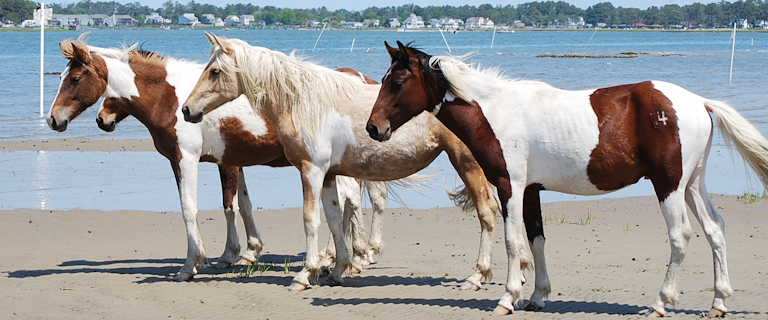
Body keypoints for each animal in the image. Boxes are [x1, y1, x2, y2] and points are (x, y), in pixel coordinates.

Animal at [47, 34, 390, 280]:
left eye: (75, 79)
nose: (53, 119)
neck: (172, 98)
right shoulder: (229, 161)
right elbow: (238, 204)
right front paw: (241, 253)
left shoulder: (185, 160)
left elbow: (192, 209)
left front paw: (192, 264)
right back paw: (344, 257)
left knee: (351, 202)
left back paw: (349, 257)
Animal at [181, 33, 504, 292]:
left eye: (214, 71)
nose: (186, 110)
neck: (305, 104)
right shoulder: (327, 175)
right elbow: (335, 219)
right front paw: (337, 269)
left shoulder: (311, 171)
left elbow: (310, 220)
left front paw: (305, 274)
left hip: (467, 165)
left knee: (487, 212)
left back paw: (478, 276)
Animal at [368, 40, 768, 318]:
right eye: (385, 80)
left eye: (398, 82)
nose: (374, 128)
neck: (497, 111)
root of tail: (699, 102)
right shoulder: (531, 190)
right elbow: (536, 240)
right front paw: (537, 296)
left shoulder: (510, 187)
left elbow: (513, 242)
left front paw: (508, 298)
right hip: (692, 185)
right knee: (715, 229)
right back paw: (718, 303)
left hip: (668, 184)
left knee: (681, 235)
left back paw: (659, 303)